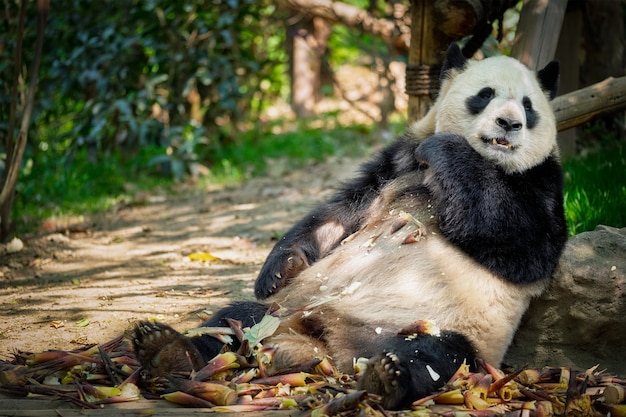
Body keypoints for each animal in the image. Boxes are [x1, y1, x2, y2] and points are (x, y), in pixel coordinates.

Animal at [132, 44, 564, 410]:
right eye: (485, 94)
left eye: (528, 106)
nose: (509, 123)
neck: (488, 160)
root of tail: (327, 346)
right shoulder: (396, 162)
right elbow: (339, 214)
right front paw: (279, 268)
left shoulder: (542, 181)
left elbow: (524, 245)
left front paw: (447, 149)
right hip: (284, 310)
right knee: (231, 320)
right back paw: (167, 349)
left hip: (449, 330)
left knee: (432, 353)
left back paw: (387, 377)